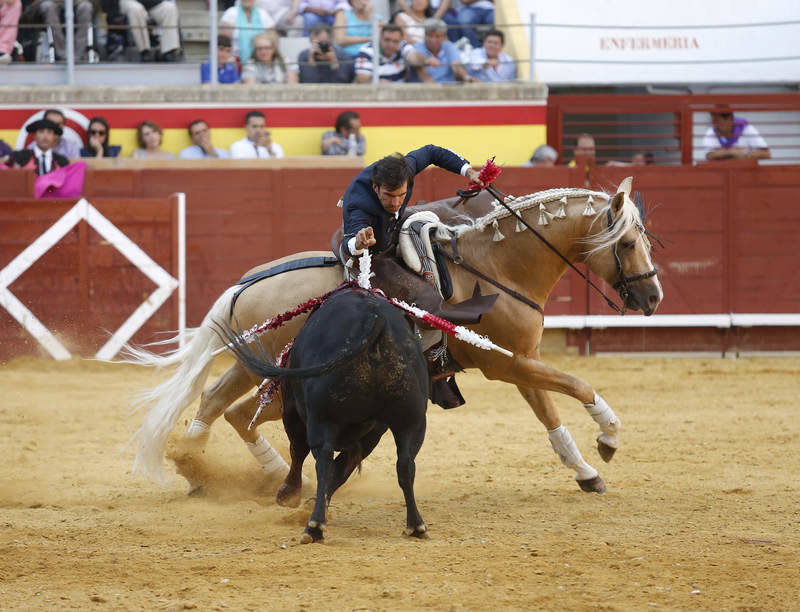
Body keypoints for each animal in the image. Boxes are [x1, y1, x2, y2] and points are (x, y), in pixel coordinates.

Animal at [125, 179, 664, 494]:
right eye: (627, 243)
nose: (653, 296)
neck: (496, 268)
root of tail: (244, 283)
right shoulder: (505, 363)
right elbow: (578, 385)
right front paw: (609, 437)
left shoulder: (521, 361)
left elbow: (551, 415)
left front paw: (586, 472)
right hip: (281, 373)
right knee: (235, 411)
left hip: (249, 362)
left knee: (220, 403)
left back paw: (207, 469)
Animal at [219, 286, 432, 540]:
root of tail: (375, 319)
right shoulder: (374, 432)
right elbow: (342, 469)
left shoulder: (293, 410)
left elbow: (301, 453)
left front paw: (289, 495)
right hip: (412, 420)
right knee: (405, 464)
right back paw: (416, 525)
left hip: (321, 418)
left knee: (321, 459)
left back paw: (314, 526)